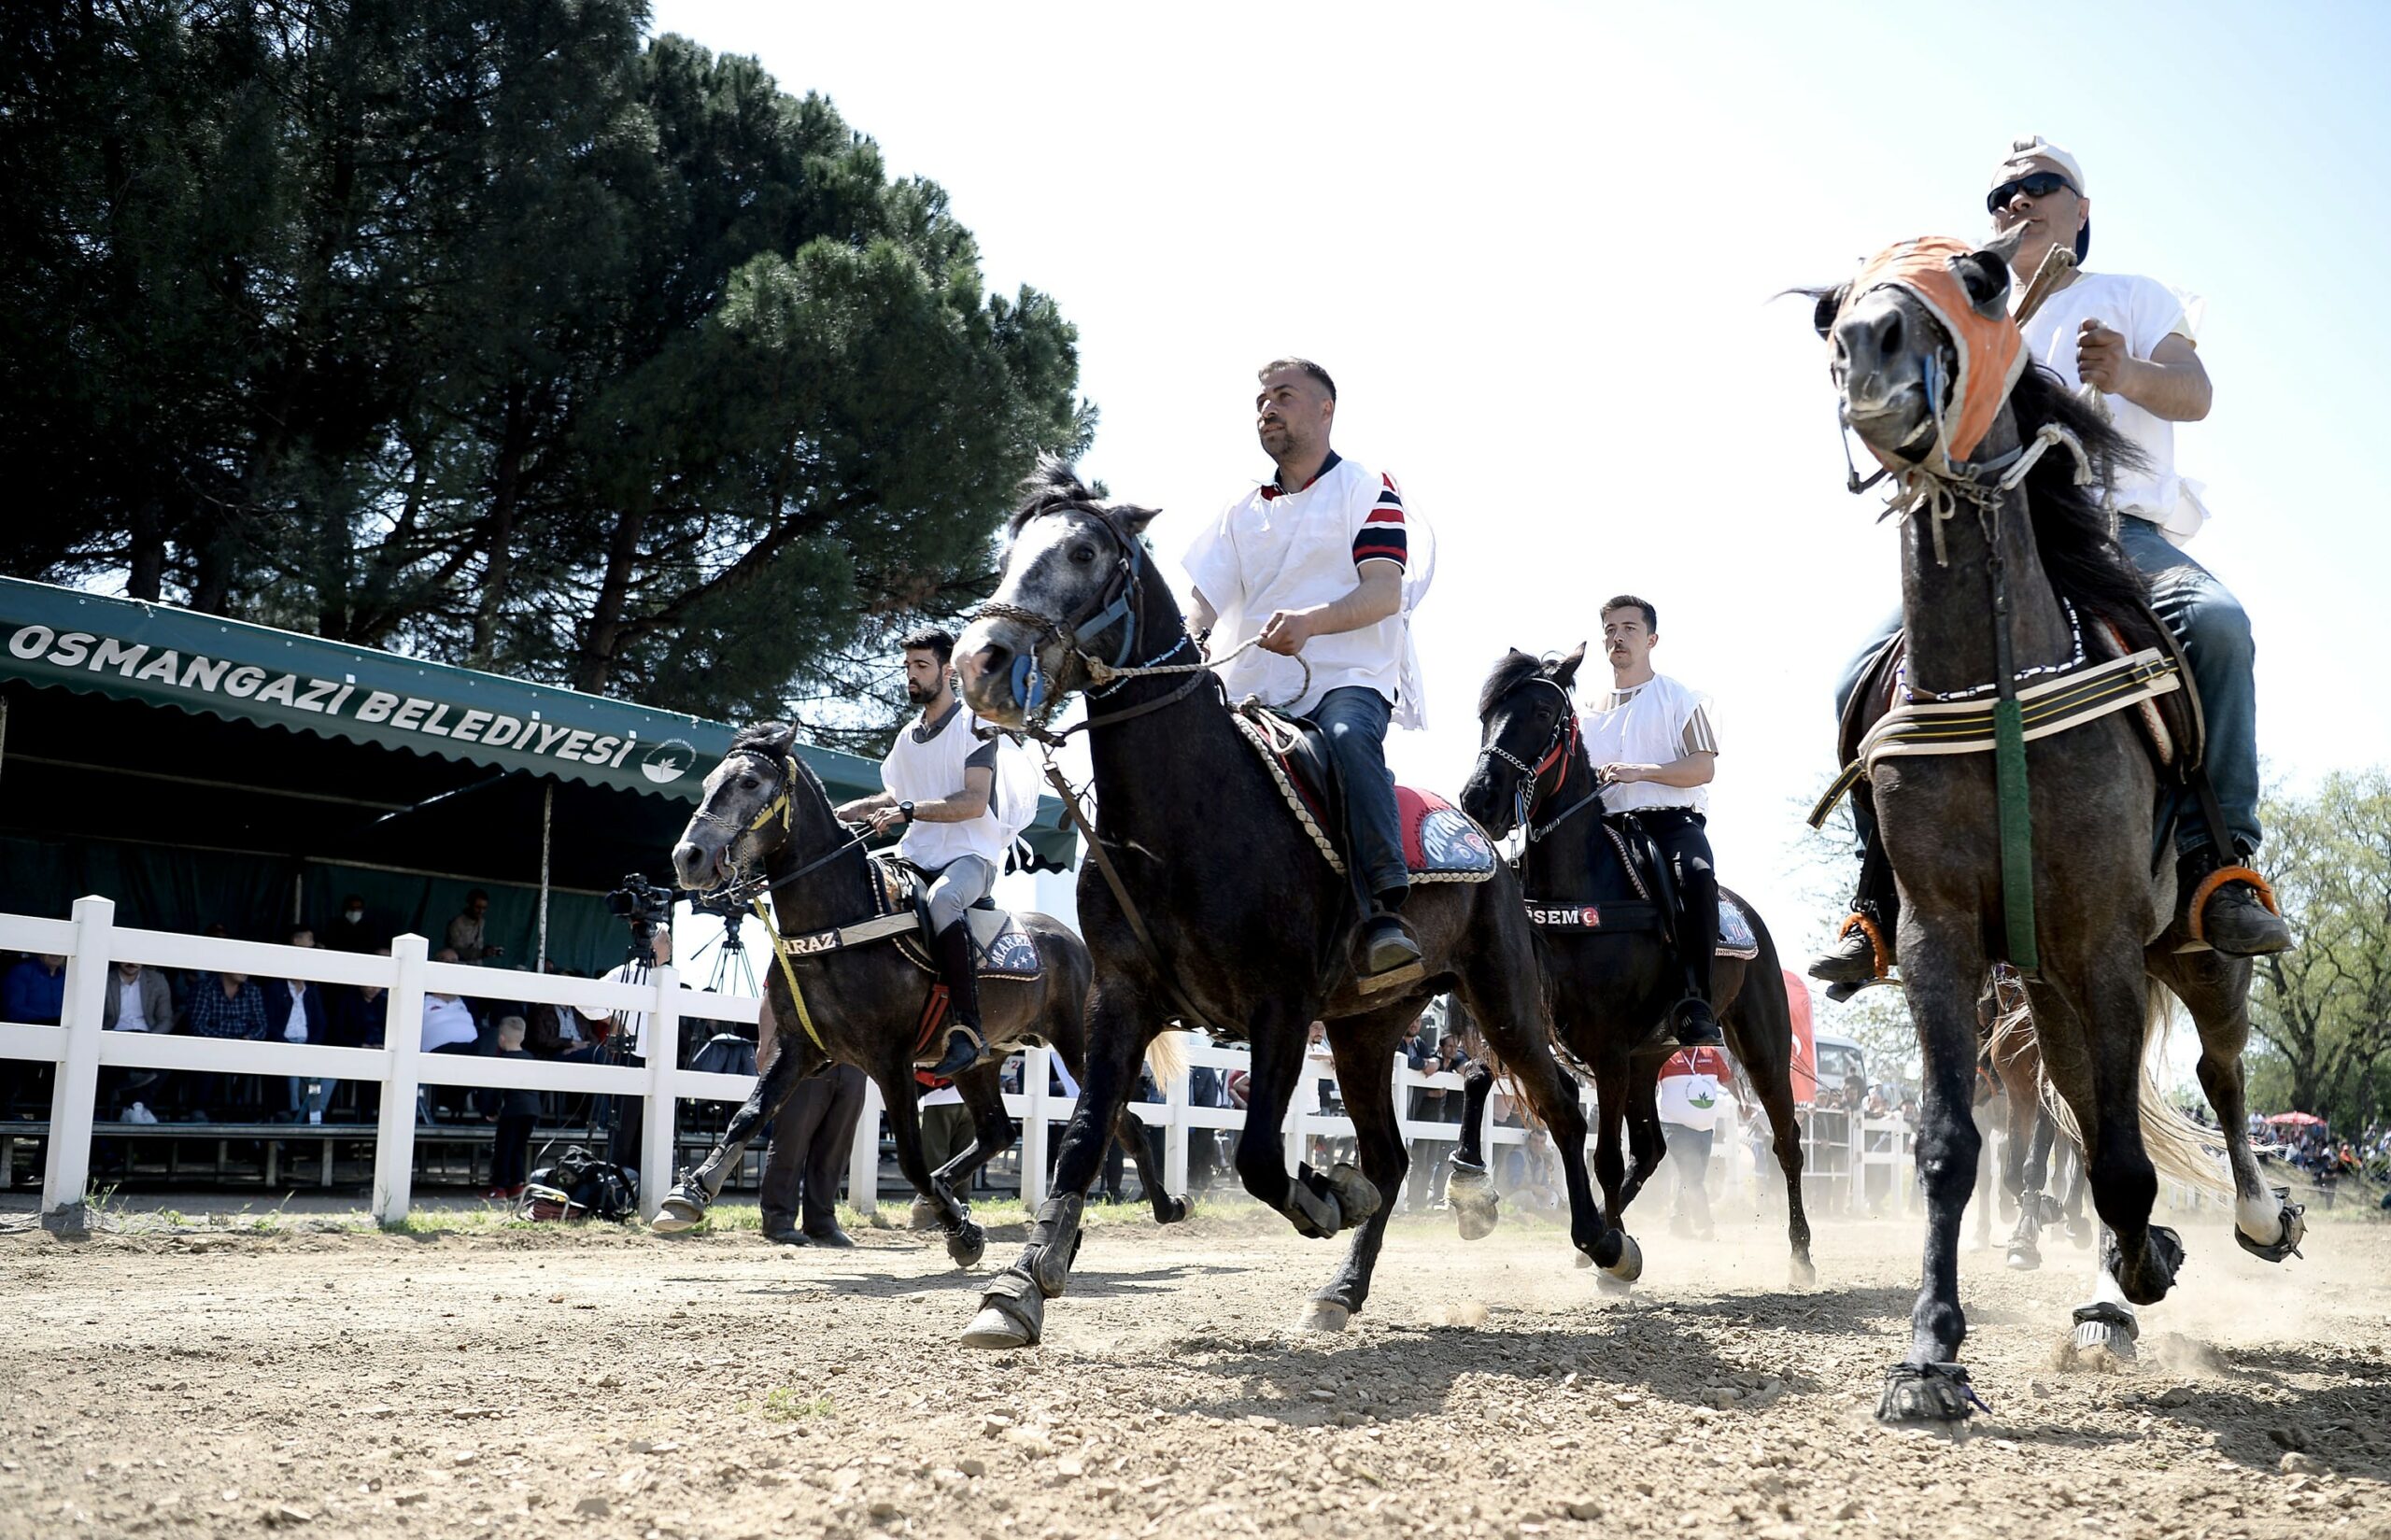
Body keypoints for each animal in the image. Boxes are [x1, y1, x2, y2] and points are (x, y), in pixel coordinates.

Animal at [941, 459, 1616, 1349]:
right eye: (1010, 553)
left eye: (1084, 551)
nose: (980, 661)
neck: (1188, 813)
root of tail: (1486, 843)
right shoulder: (1119, 996)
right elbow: (1086, 1133)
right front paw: (1019, 1285)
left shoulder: (1282, 1006)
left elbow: (1260, 1153)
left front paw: (1324, 1195)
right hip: (1367, 1030)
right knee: (1393, 1157)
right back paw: (1342, 1288)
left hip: (1501, 998)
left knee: (1562, 1104)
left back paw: (1606, 1241)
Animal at [1453, 636, 1807, 1291]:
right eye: (1486, 714)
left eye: (1543, 712)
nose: (1478, 798)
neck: (1580, 894)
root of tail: (1745, 913)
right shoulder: (1530, 1017)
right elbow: (1479, 1073)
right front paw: (1469, 1186)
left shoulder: (1608, 1047)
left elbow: (1605, 1154)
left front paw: (1606, 1245)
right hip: (1650, 1057)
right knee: (1653, 1149)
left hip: (1761, 1045)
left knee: (1786, 1141)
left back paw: (1800, 1254)